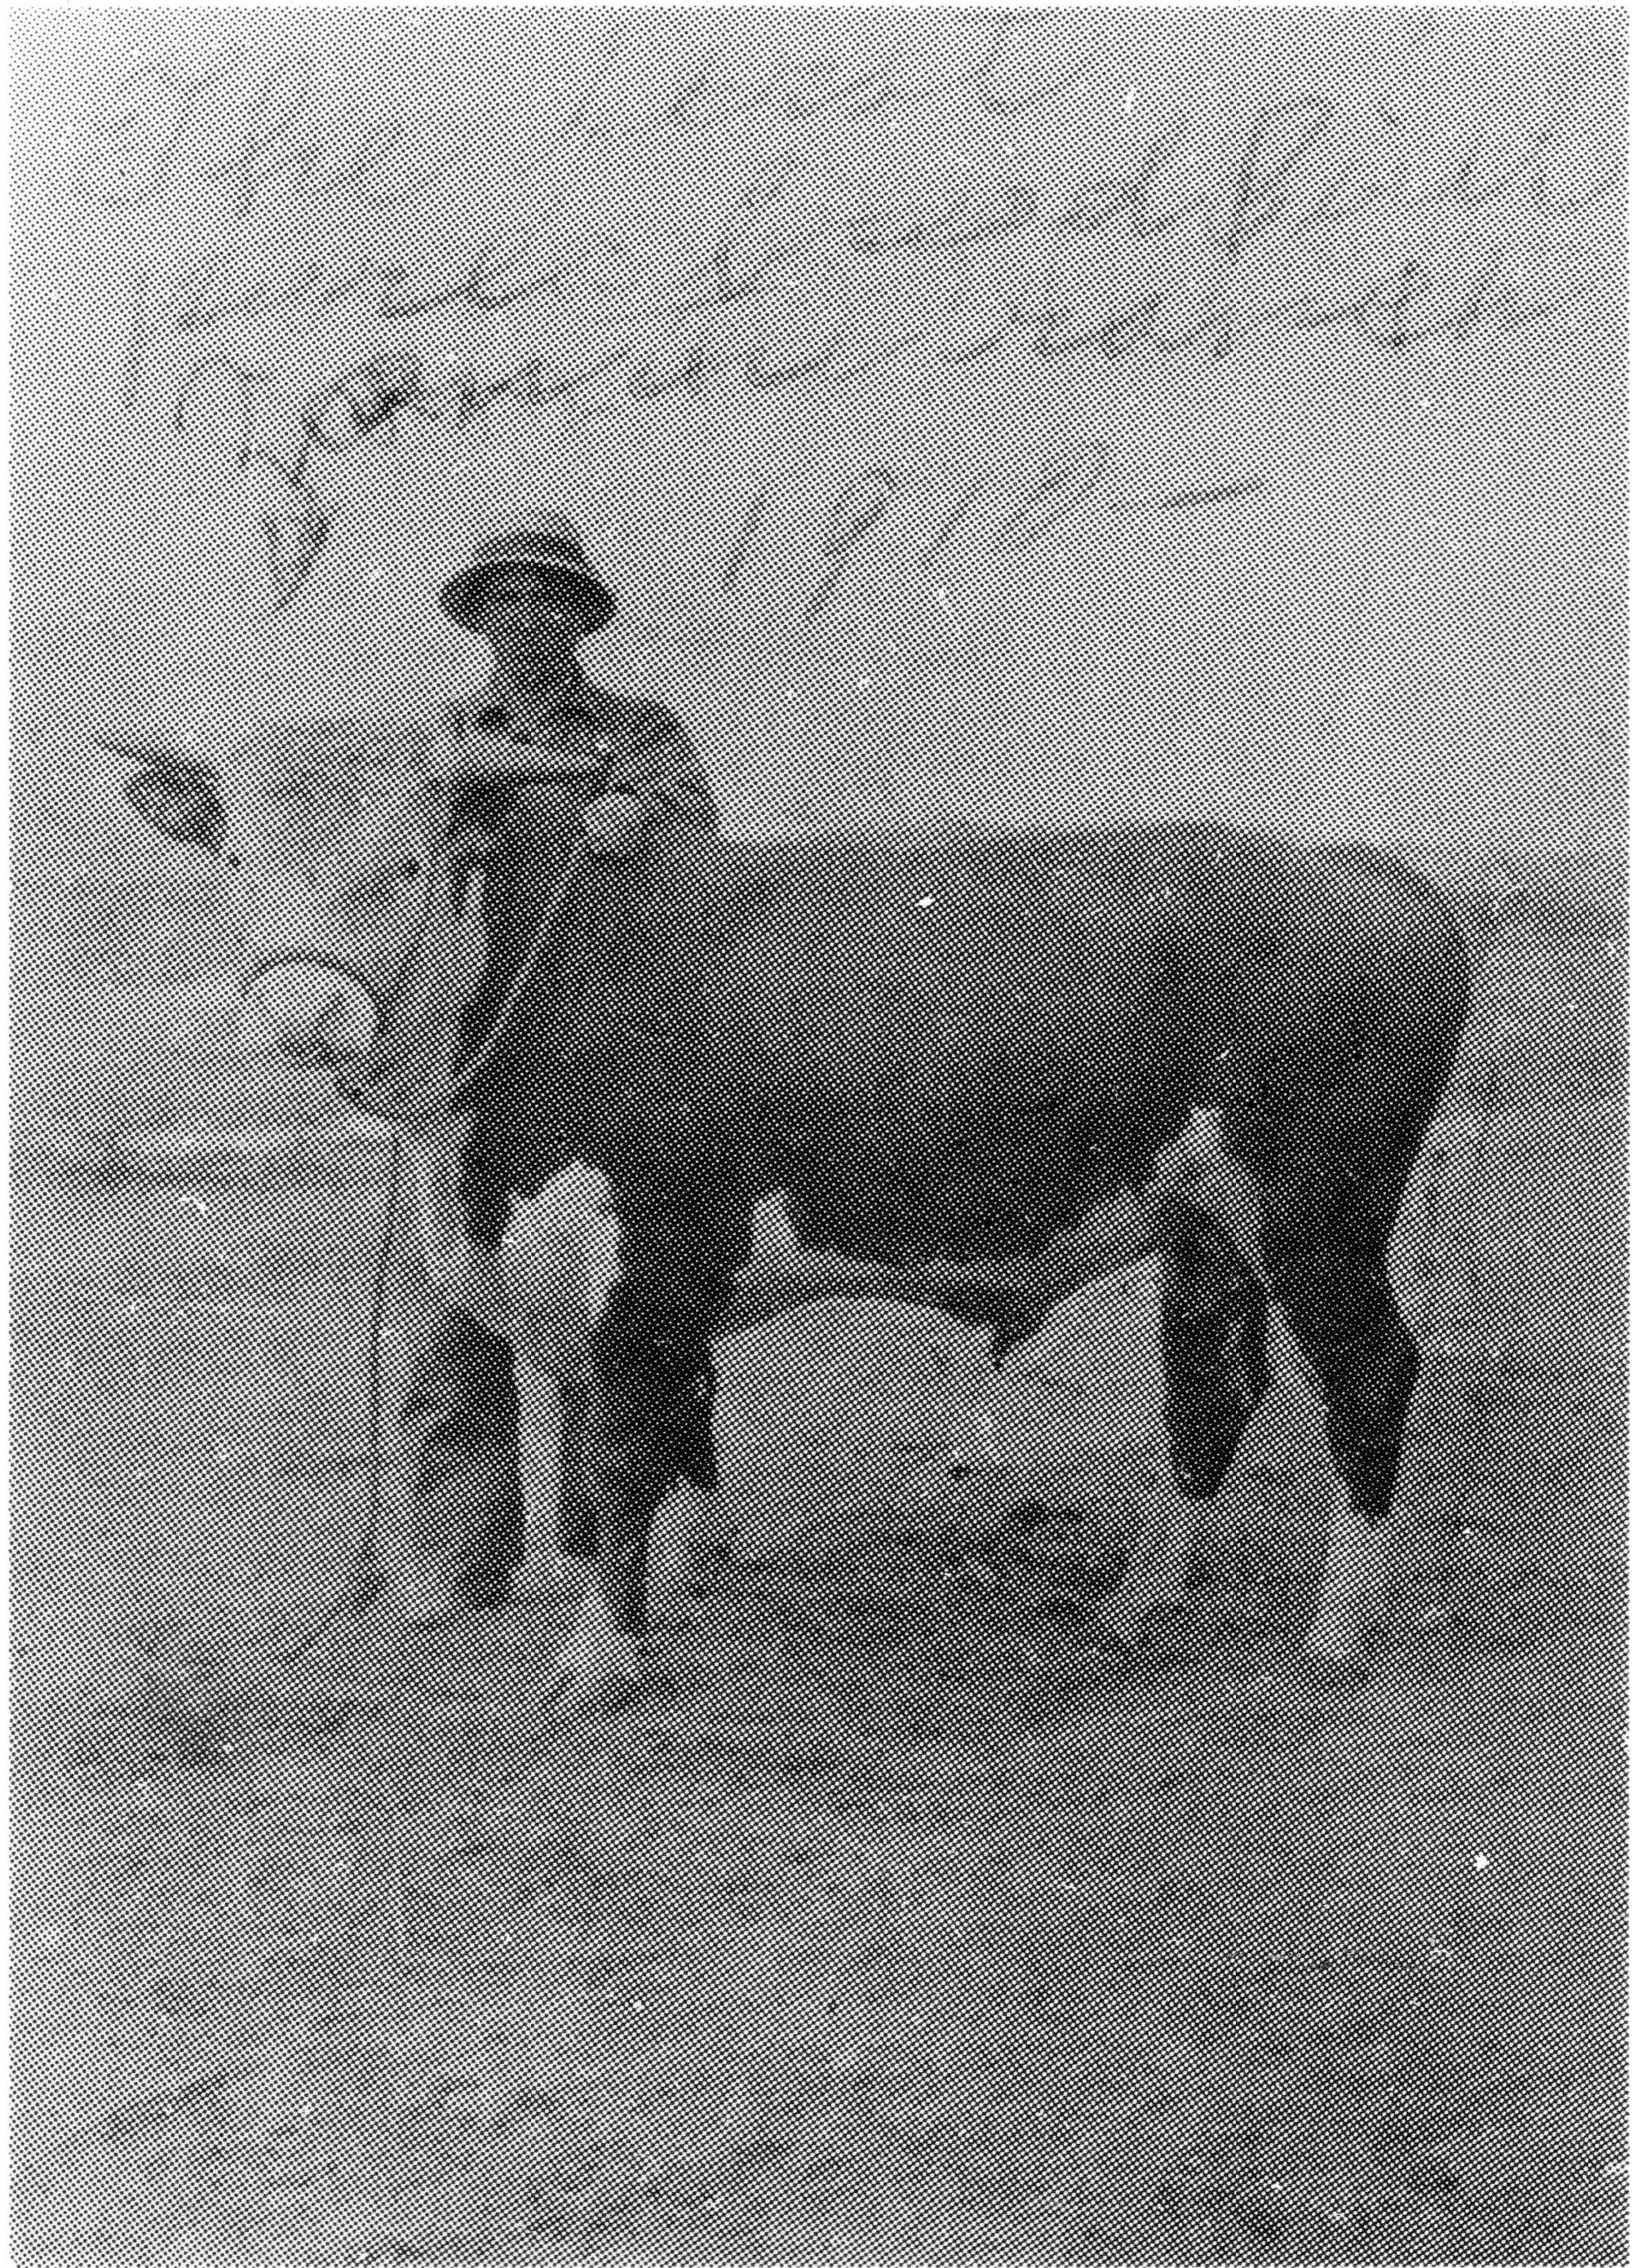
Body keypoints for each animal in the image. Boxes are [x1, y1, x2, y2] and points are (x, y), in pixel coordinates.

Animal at [113, 715, 1472, 1707]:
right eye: (236, 861)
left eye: (406, 861)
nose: (303, 1015)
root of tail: (1359, 867)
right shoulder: (582, 1288)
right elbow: (635, 1456)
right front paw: (659, 1594)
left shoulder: (647, 1266)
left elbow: (620, 1457)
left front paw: (598, 1663)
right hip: (1202, 1219)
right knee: (1212, 1384)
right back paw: (1141, 1598)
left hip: (1317, 1212)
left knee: (1368, 1373)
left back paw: (1338, 1628)